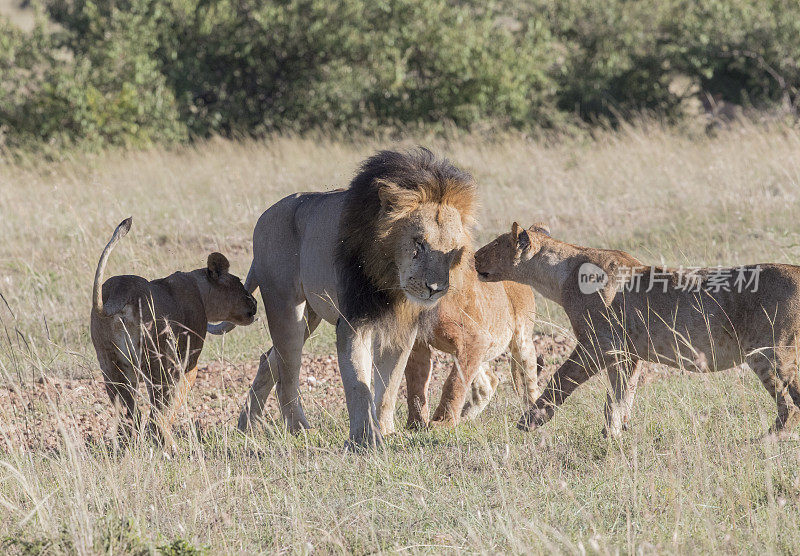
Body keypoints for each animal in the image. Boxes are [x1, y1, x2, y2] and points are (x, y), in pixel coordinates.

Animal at [92, 217, 258, 448]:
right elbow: (175, 400)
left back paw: (127, 447)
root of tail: (122, 290)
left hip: (110, 364)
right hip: (158, 361)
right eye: (240, 283)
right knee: (156, 413)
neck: (200, 288)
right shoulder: (188, 360)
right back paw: (168, 445)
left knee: (129, 414)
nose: (255, 303)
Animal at [209, 149, 478, 448]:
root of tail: (264, 216)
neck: (390, 279)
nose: (435, 288)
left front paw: (386, 432)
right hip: (286, 308)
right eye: (419, 243)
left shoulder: (402, 329)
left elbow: (389, 386)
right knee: (288, 373)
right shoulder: (352, 321)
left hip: (310, 316)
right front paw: (366, 438)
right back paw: (300, 429)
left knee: (268, 359)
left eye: (453, 250)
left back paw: (247, 426)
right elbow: (358, 384)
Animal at [476, 222, 800, 438]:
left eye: (494, 244)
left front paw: (531, 420)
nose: (473, 256)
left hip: (769, 353)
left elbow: (562, 380)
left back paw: (766, 440)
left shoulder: (599, 346)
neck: (558, 276)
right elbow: (622, 395)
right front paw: (615, 434)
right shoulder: (628, 354)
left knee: (790, 405)